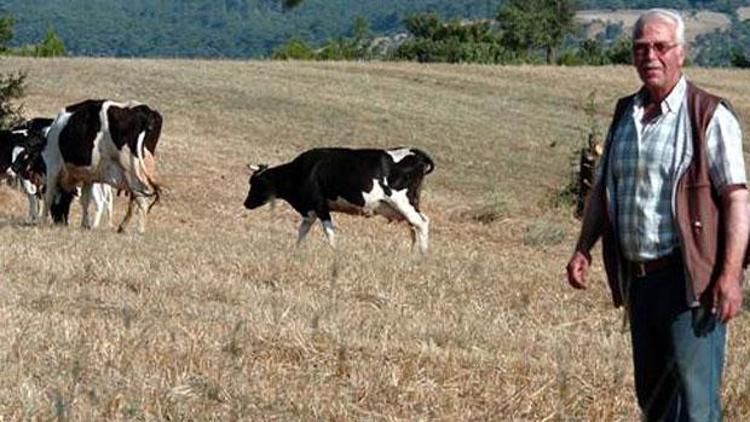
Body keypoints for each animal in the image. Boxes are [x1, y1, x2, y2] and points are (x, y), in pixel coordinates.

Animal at [17, 99, 162, 234]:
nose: (60, 222)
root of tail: (146, 111)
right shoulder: (88, 176)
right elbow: (85, 200)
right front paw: (85, 224)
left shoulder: (53, 166)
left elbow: (48, 196)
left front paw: (42, 222)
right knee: (135, 199)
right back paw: (123, 226)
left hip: (131, 171)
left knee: (142, 200)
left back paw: (139, 230)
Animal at [244, 147, 438, 252]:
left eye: (256, 184)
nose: (245, 203)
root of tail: (417, 154)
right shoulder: (311, 210)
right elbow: (302, 230)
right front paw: (296, 249)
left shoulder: (320, 205)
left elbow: (328, 231)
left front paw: (334, 251)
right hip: (409, 204)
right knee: (414, 226)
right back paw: (413, 255)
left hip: (402, 202)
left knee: (421, 223)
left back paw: (422, 256)